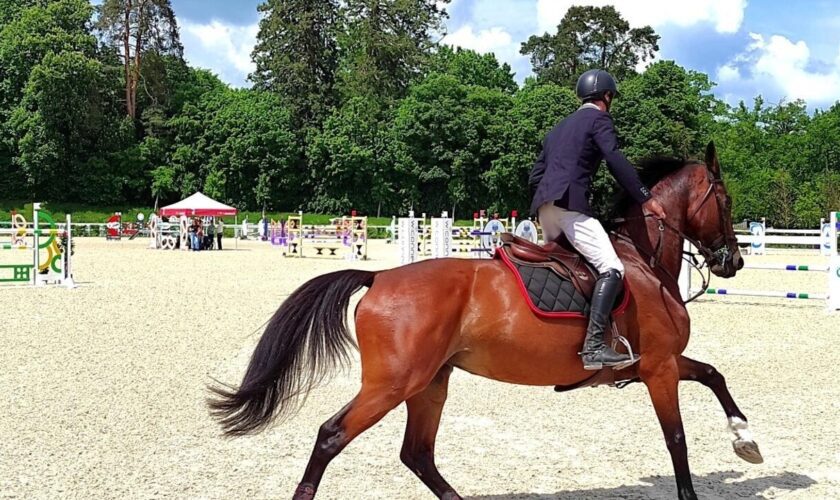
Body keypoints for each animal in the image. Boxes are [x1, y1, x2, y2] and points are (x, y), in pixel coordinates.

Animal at [210, 143, 760, 500]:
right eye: (726, 201)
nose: (733, 262)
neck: (641, 259)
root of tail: (378, 276)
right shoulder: (659, 368)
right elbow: (677, 440)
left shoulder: (657, 363)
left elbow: (714, 375)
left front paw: (744, 438)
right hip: (392, 385)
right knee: (332, 436)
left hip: (430, 383)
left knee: (418, 454)